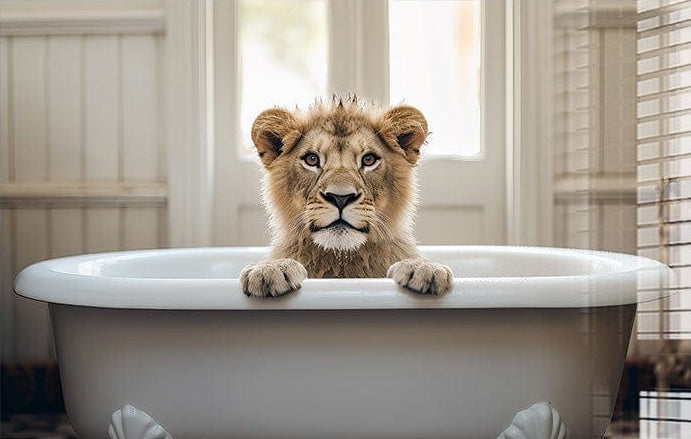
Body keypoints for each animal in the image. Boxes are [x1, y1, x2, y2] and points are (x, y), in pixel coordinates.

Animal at [240, 96, 454, 297]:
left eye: (369, 160)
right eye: (312, 159)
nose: (340, 198)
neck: (341, 259)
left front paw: (422, 267)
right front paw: (271, 269)